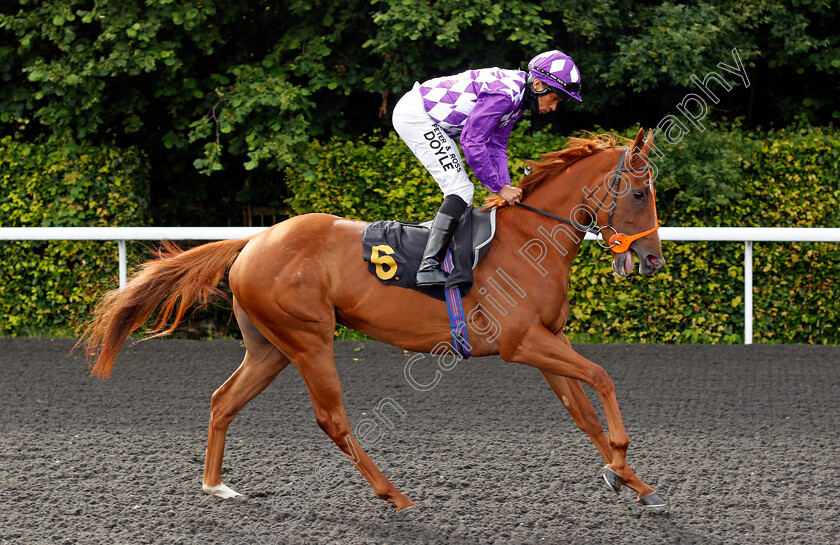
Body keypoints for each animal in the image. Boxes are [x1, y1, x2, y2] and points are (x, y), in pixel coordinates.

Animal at [82, 127, 668, 510]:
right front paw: (620, 464)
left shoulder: (547, 340)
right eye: (640, 193)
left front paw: (635, 483)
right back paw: (395, 495)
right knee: (332, 419)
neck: (529, 242)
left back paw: (215, 485)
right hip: (309, 338)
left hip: (270, 346)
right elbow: (602, 377)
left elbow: (583, 411)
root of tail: (255, 238)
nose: (652, 260)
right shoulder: (520, 341)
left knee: (223, 400)